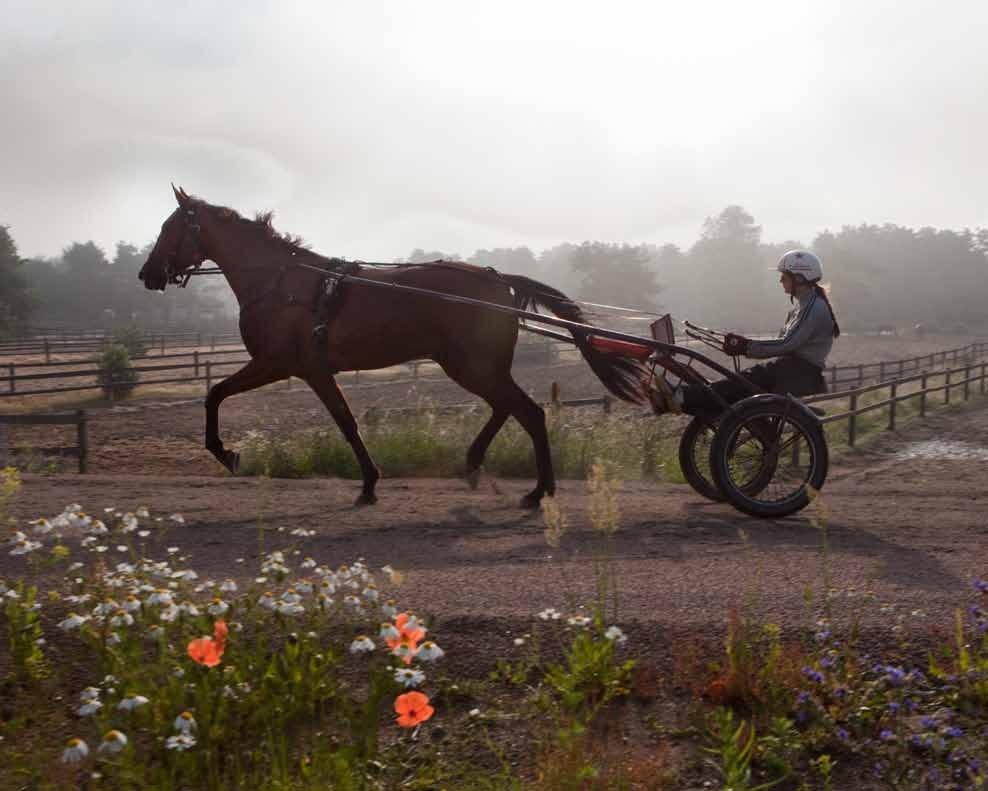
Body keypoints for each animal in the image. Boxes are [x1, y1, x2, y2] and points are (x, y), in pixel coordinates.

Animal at [139, 187, 648, 508]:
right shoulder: (306, 370)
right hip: (472, 365)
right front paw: (369, 483)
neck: (283, 284)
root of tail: (497, 278)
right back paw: (476, 465)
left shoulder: (281, 364)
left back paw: (539, 490)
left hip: (472, 365)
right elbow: (343, 421)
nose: (147, 274)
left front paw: (226, 452)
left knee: (528, 411)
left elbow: (218, 394)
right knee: (508, 408)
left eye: (168, 228)